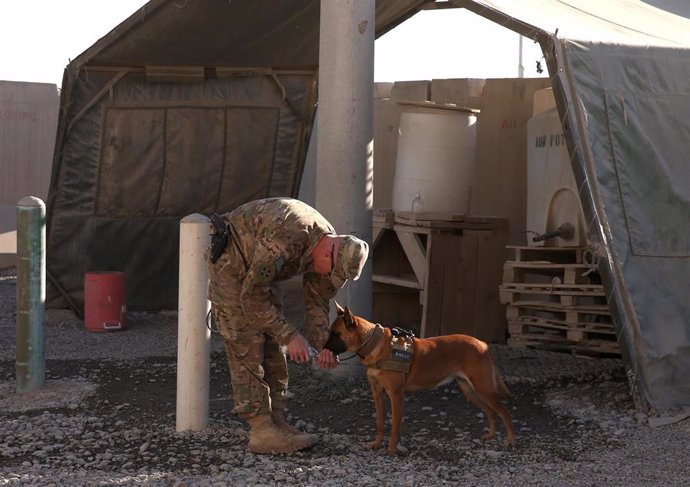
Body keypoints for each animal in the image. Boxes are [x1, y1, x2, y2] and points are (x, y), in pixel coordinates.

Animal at [326, 306, 512, 456]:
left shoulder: (396, 395)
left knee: (504, 412)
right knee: (492, 412)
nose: (322, 349)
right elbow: (379, 422)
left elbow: (395, 426)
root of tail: (482, 344)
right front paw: (377, 444)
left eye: (336, 334)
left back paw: (511, 442)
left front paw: (391, 450)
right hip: (471, 391)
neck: (377, 345)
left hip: (483, 389)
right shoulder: (377, 393)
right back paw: (491, 435)